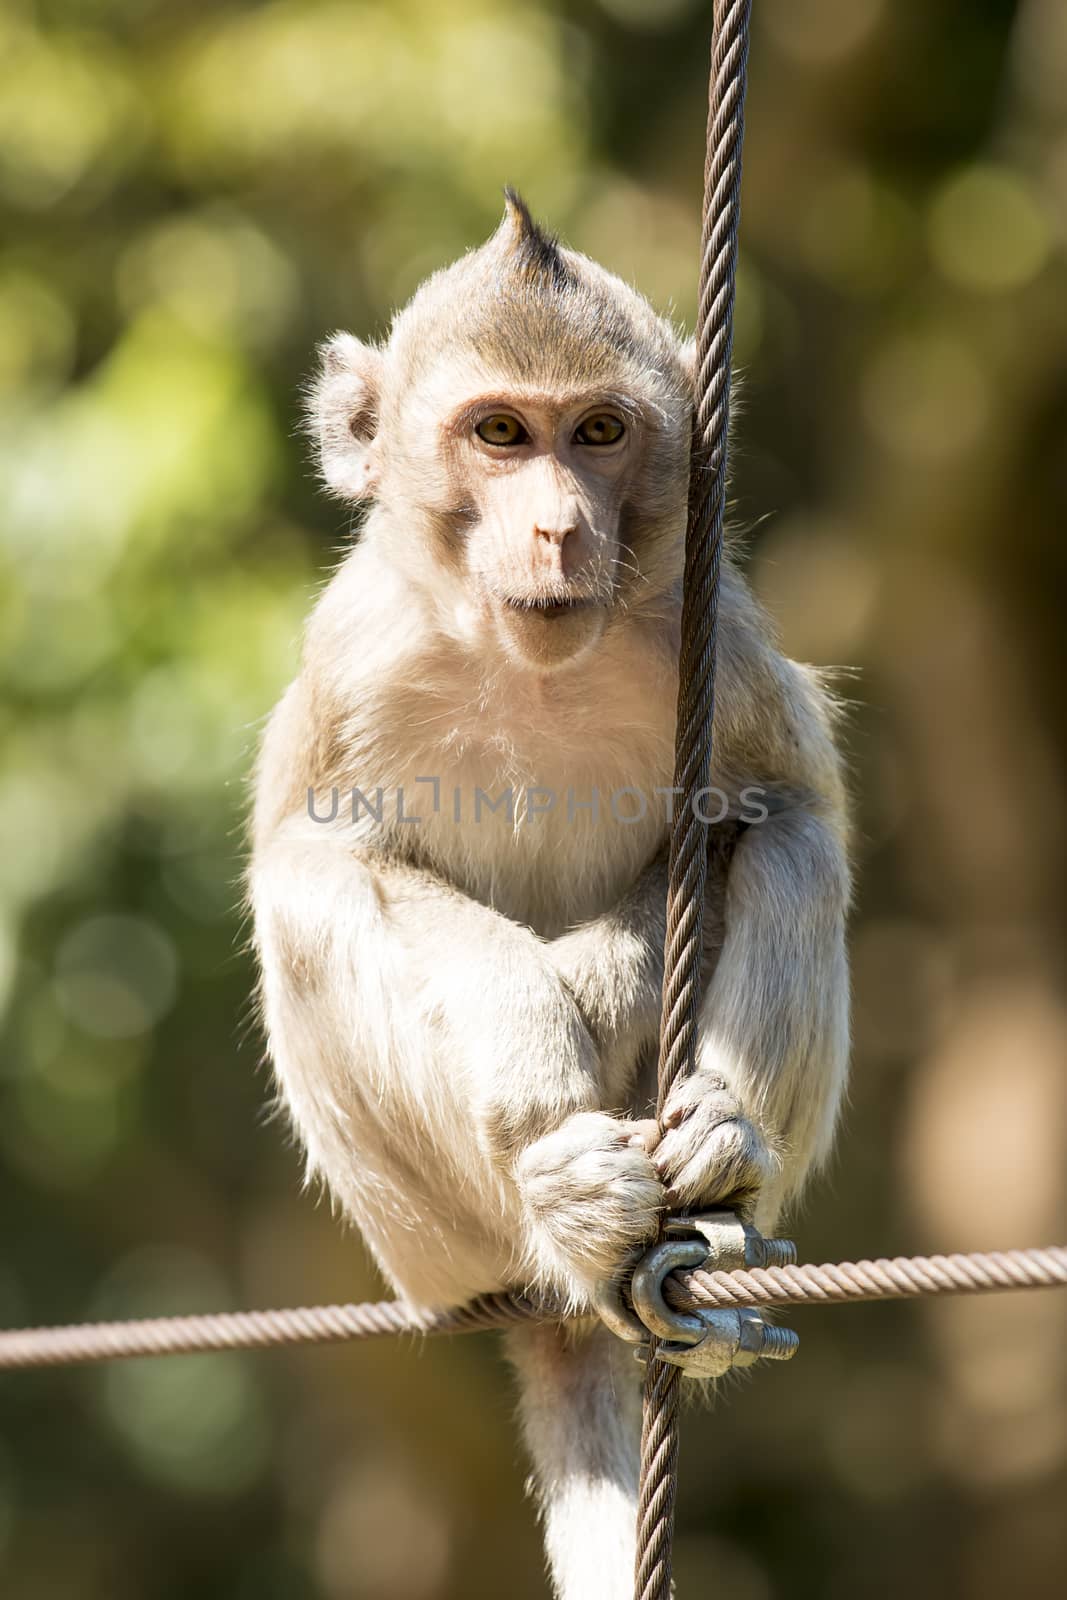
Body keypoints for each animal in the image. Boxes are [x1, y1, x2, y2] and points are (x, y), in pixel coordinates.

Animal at [251, 190, 851, 1600]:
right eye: (498, 434)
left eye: (597, 434)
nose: (558, 525)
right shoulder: (351, 657)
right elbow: (331, 856)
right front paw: (531, 1020)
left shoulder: (716, 643)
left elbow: (775, 806)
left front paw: (601, 981)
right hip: (428, 1243)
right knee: (306, 895)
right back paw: (564, 1200)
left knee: (794, 847)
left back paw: (717, 1162)